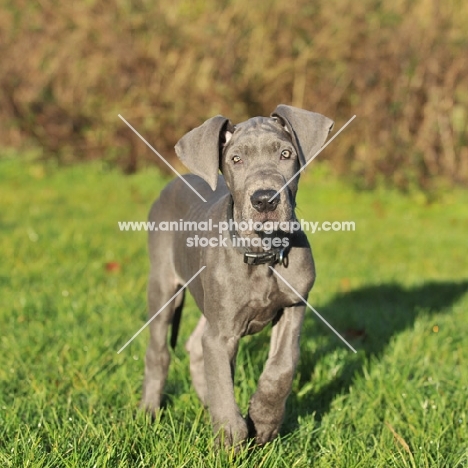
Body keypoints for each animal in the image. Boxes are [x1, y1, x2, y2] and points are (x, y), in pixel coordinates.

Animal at [141, 104, 334, 448]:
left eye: (286, 154)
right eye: (236, 159)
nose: (265, 199)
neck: (263, 254)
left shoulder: (293, 307)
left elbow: (283, 365)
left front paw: (264, 420)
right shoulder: (221, 334)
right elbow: (223, 382)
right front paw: (230, 437)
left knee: (195, 346)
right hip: (163, 285)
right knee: (159, 351)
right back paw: (149, 411)